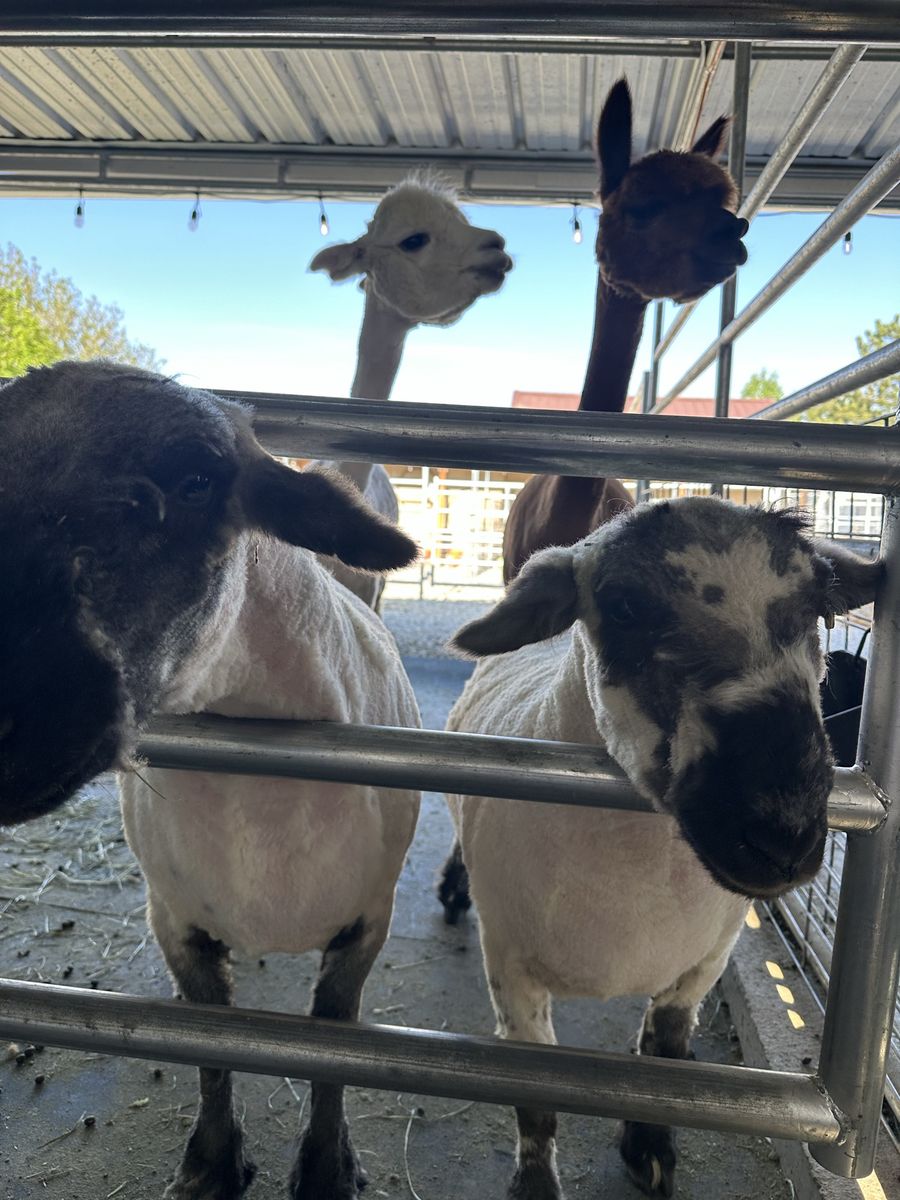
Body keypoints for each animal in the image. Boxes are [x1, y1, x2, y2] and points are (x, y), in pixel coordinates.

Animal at [0, 360, 422, 1200]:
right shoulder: (176, 921)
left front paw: (325, 1167)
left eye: (197, 480)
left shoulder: (368, 922)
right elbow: (213, 1047)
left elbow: (333, 1043)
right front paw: (213, 1164)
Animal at [442, 497, 881, 1199]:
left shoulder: (703, 961)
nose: (781, 834)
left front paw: (649, 1148)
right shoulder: (510, 970)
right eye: (623, 605)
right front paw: (535, 1182)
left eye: (821, 605)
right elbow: (534, 1103)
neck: (633, 883)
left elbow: (663, 1062)